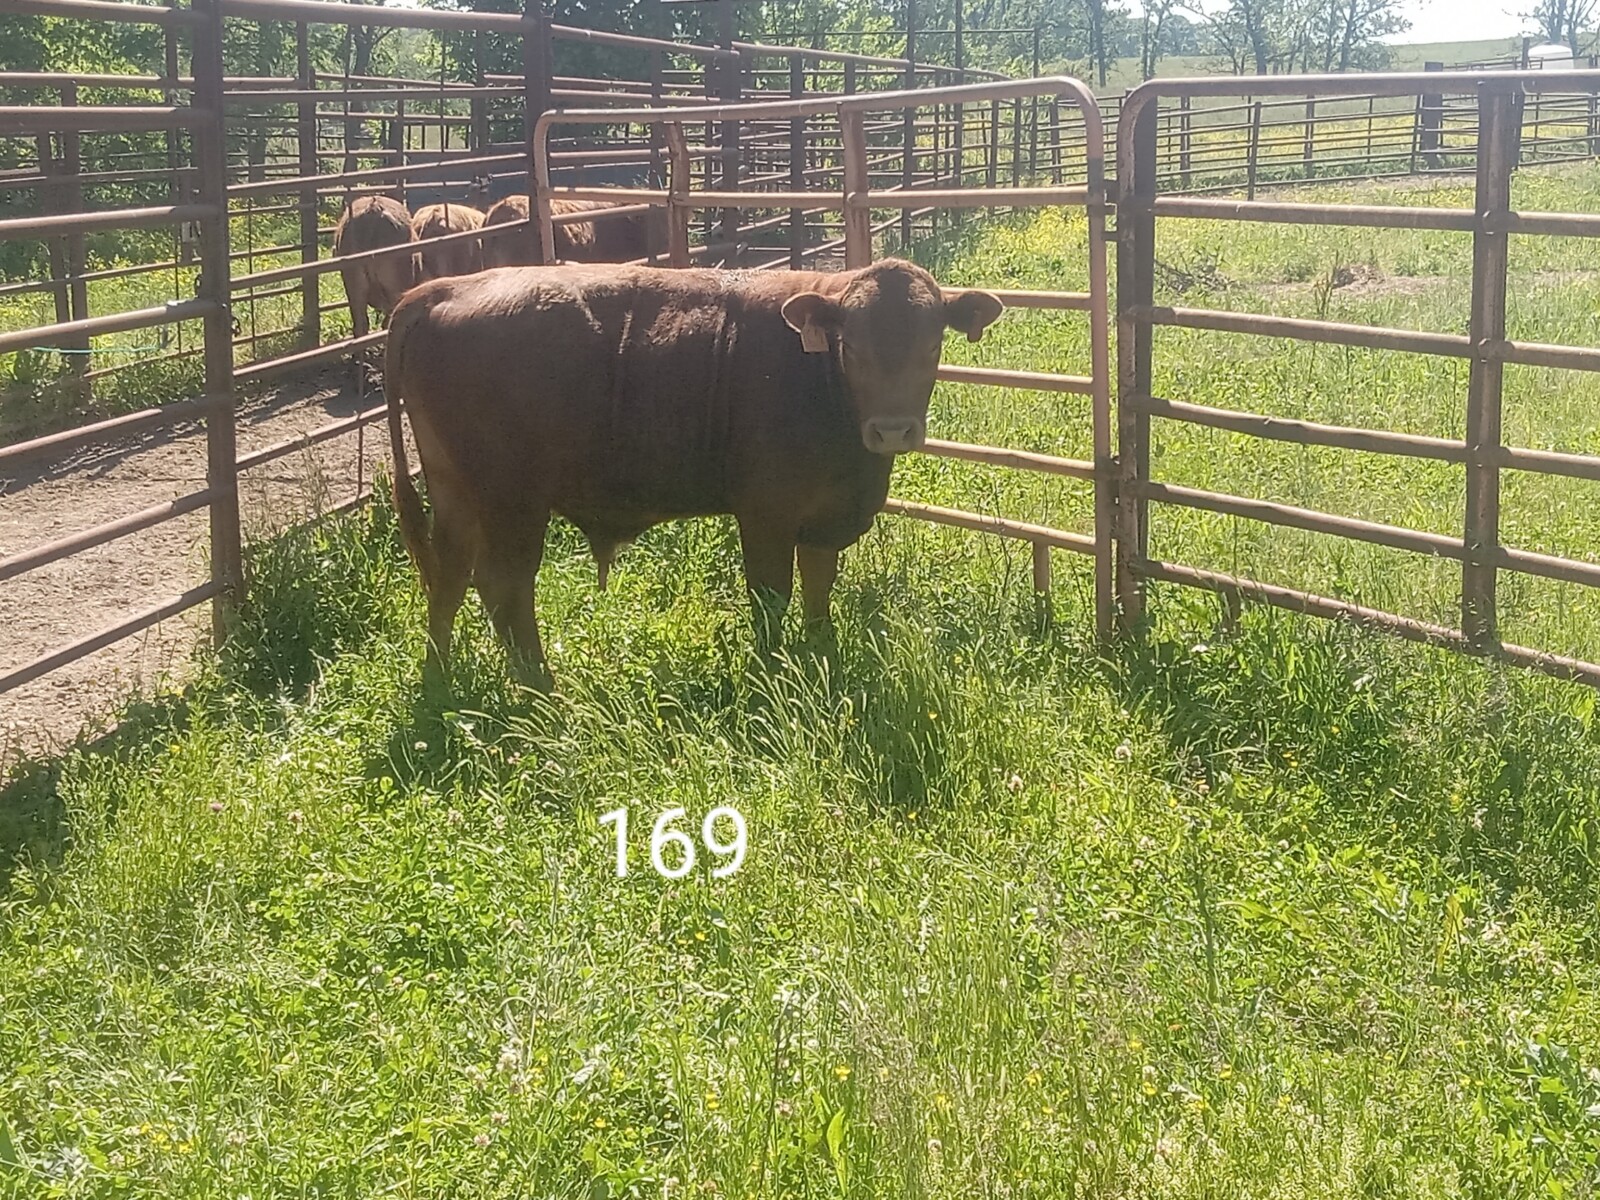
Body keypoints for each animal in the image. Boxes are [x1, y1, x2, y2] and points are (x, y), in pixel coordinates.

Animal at [382, 258, 1004, 689]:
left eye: (933, 342)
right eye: (851, 345)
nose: (893, 430)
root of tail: (443, 288)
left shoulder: (822, 521)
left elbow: (818, 590)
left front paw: (820, 653)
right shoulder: (767, 515)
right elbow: (772, 598)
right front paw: (773, 672)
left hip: (455, 490)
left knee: (448, 575)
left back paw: (439, 675)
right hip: (512, 500)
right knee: (504, 584)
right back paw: (541, 688)